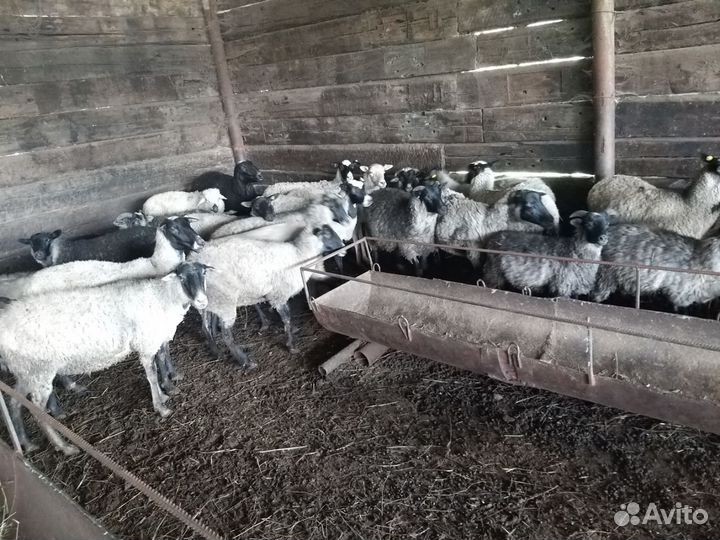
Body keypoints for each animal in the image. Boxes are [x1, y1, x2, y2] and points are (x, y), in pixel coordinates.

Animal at [0, 262, 210, 454]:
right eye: (182, 278)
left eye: (203, 273)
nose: (202, 302)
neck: (162, 296)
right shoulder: (146, 343)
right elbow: (152, 375)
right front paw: (161, 405)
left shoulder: (155, 338)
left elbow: (161, 361)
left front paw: (166, 391)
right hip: (38, 369)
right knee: (36, 409)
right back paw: (64, 446)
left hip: (27, 370)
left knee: (14, 401)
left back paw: (27, 442)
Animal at [189, 225, 344, 368]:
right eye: (327, 234)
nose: (343, 247)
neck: (300, 254)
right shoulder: (279, 295)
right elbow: (287, 319)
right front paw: (291, 345)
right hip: (224, 301)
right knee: (226, 335)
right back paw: (245, 361)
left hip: (208, 304)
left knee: (206, 328)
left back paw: (217, 353)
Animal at [483, 210, 611, 297]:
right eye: (589, 224)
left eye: (607, 225)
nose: (603, 238)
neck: (575, 252)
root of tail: (492, 238)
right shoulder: (562, 287)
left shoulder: (574, 290)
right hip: (494, 273)